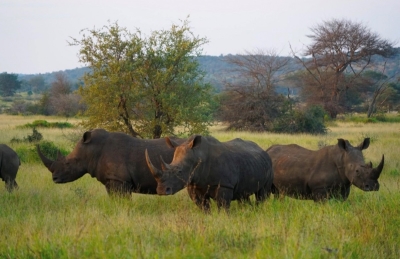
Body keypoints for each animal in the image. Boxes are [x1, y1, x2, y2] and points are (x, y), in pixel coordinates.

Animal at [146, 135, 276, 212]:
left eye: (179, 171)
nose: (161, 190)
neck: (197, 154)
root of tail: (263, 150)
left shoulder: (225, 186)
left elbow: (223, 207)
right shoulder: (195, 185)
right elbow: (203, 207)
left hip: (270, 166)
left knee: (262, 194)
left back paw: (259, 210)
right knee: (243, 195)